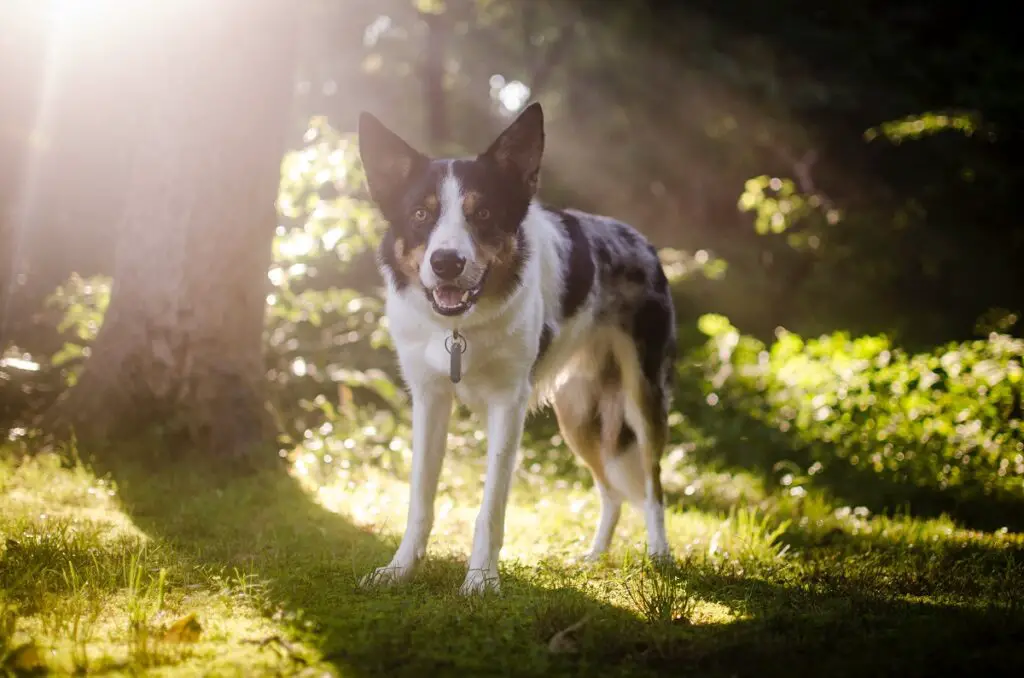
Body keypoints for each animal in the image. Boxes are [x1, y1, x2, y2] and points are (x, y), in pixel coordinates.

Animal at [356, 100, 675, 594]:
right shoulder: (429, 399)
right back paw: (594, 557)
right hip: (577, 413)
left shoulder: (509, 402)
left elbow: (491, 507)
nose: (446, 263)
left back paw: (659, 554)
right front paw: (400, 569)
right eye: (421, 216)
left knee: (652, 483)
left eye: (484, 214)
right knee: (610, 490)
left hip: (642, 395)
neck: (460, 326)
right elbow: (420, 497)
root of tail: (643, 242)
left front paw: (481, 581)